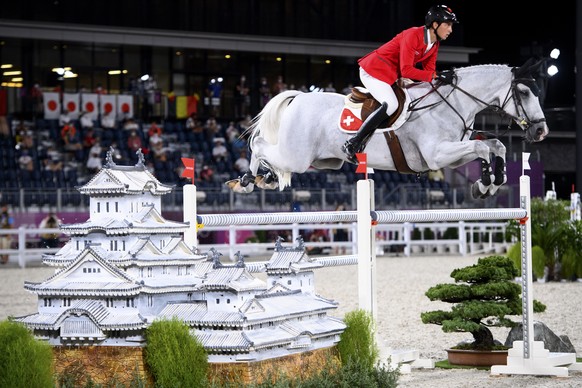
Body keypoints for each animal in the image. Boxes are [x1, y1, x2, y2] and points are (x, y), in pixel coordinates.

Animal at [229, 59, 552, 199]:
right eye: (525, 92)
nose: (541, 132)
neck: (453, 102)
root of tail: (301, 96)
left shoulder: (451, 156)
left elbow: (496, 145)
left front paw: (495, 180)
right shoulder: (437, 154)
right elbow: (483, 146)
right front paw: (484, 184)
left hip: (323, 161)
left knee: (271, 154)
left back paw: (267, 178)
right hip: (296, 155)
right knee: (259, 145)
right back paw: (248, 180)